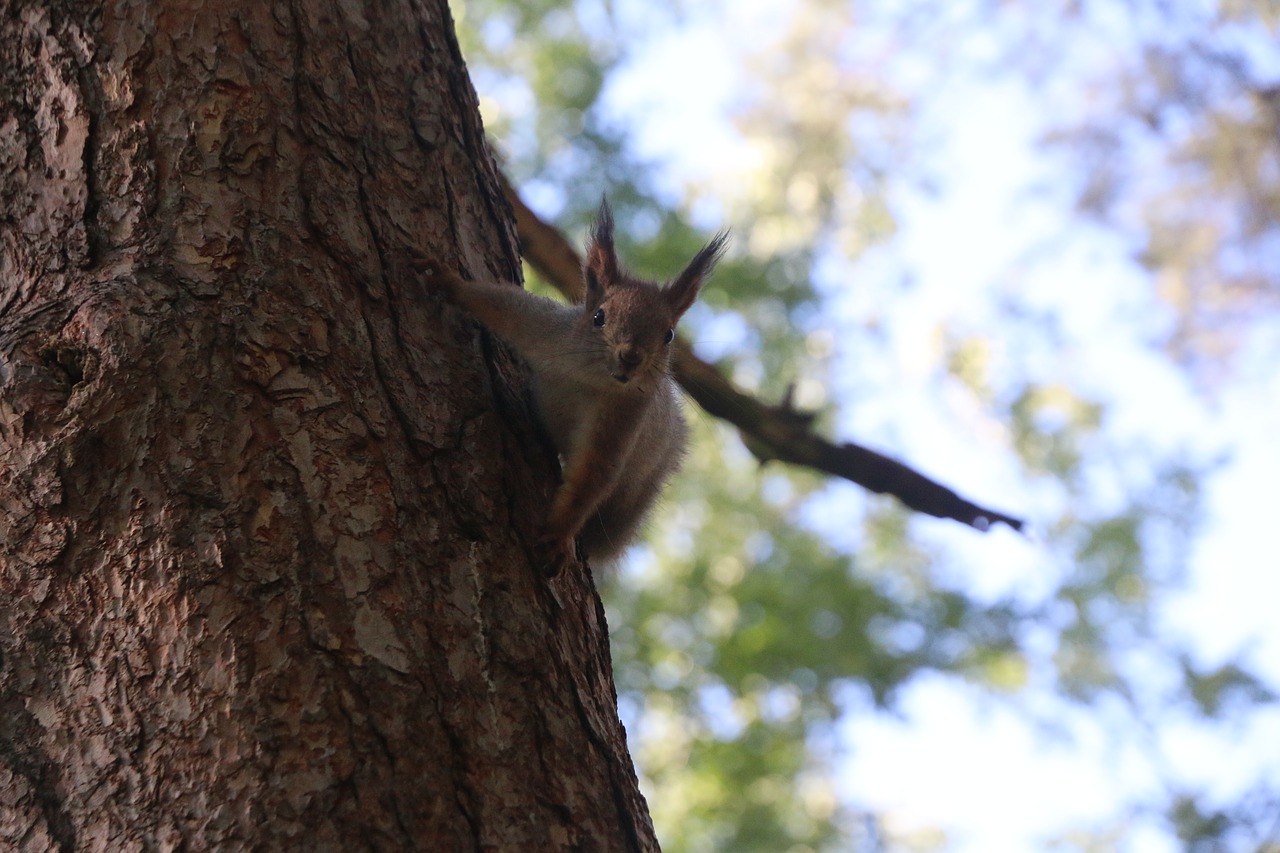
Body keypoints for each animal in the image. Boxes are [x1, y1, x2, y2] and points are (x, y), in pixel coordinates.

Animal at [432, 198, 727, 571]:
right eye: (599, 316)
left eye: (669, 335)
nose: (631, 357)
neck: (590, 378)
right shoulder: (545, 329)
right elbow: (500, 304)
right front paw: (448, 282)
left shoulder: (625, 414)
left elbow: (593, 475)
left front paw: (559, 536)